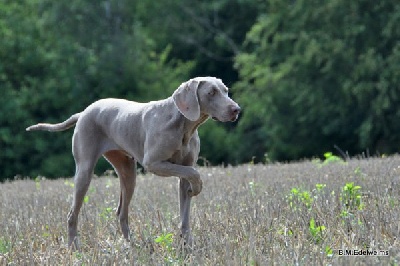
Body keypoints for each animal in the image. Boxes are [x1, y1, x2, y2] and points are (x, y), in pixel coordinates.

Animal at [28, 76, 242, 248]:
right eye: (211, 92)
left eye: (226, 90)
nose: (236, 110)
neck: (183, 126)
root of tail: (82, 113)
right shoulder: (153, 163)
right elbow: (194, 173)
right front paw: (197, 188)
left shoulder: (182, 171)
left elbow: (185, 213)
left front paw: (187, 244)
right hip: (85, 170)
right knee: (73, 214)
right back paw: (73, 247)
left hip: (128, 171)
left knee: (121, 212)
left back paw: (132, 246)